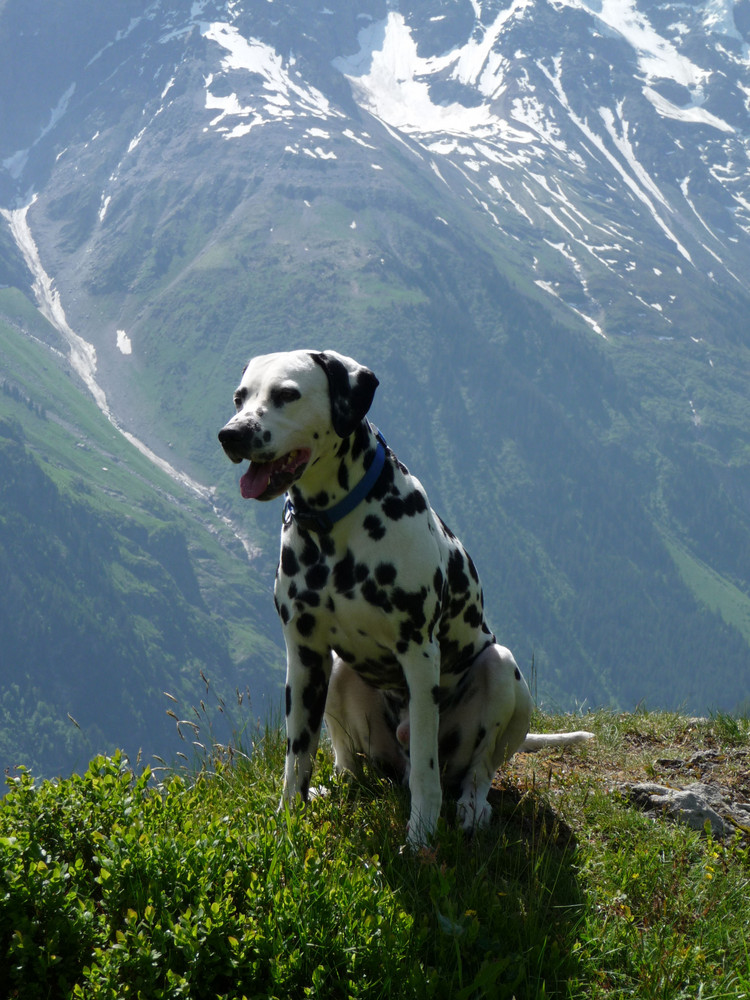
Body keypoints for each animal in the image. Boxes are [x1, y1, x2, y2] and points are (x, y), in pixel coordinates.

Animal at [217, 352, 592, 844]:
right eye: (239, 397)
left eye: (286, 394)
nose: (231, 434)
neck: (335, 529)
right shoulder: (303, 657)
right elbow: (297, 758)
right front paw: (287, 825)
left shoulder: (418, 654)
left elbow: (426, 775)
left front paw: (421, 836)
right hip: (337, 675)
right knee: (348, 762)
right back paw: (335, 786)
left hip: (502, 671)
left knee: (477, 770)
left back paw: (472, 808)